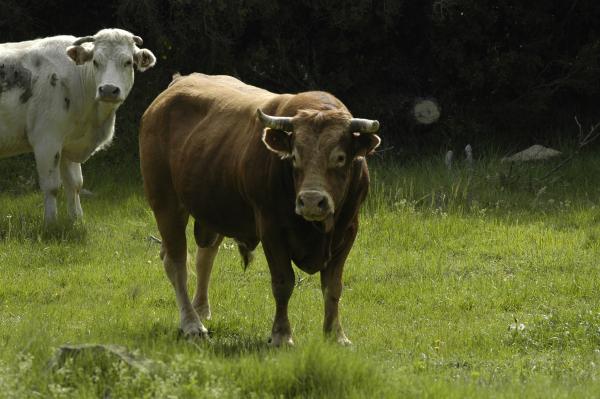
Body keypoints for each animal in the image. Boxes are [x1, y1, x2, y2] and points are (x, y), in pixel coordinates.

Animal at [0, 29, 157, 225]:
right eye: (95, 61)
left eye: (128, 62)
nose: (108, 89)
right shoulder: (47, 140)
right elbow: (51, 186)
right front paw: (50, 223)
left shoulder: (69, 142)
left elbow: (75, 184)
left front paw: (77, 219)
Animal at [139, 74, 380, 346]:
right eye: (294, 157)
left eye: (340, 157)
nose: (311, 201)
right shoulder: (271, 228)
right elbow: (283, 282)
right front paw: (281, 335)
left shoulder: (348, 230)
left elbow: (333, 285)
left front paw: (335, 335)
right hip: (165, 202)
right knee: (177, 263)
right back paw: (192, 323)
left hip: (213, 208)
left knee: (204, 257)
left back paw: (201, 309)